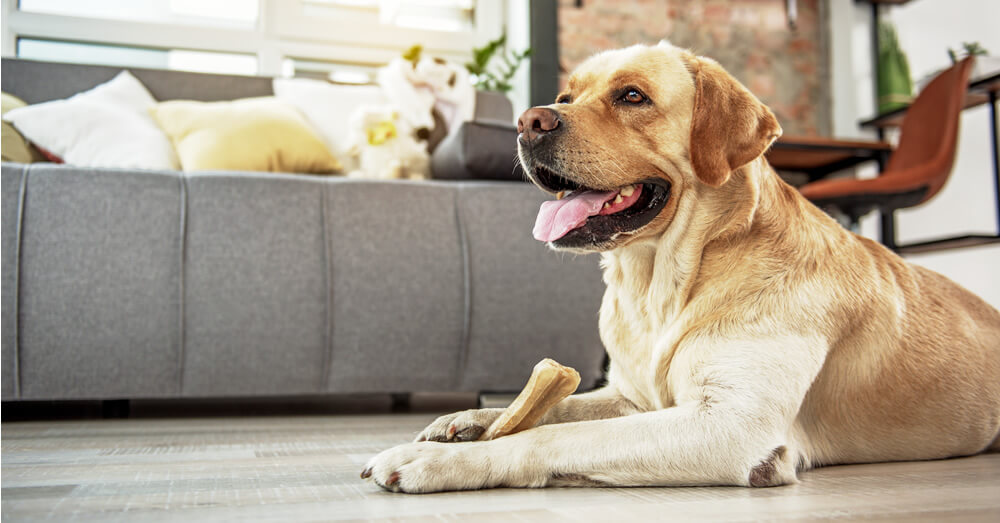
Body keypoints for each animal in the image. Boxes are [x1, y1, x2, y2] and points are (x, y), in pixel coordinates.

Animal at [366, 43, 1000, 494]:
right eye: (566, 95)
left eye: (632, 96)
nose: (528, 122)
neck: (662, 284)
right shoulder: (631, 395)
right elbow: (560, 406)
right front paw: (470, 419)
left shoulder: (730, 426)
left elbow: (556, 434)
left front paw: (438, 459)